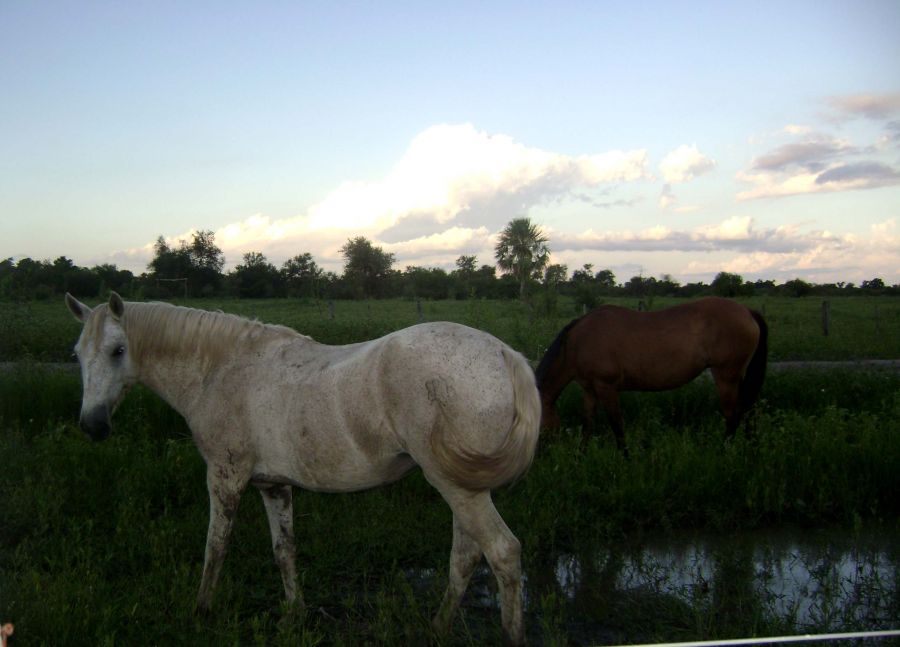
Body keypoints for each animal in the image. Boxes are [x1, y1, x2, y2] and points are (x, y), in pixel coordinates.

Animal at [67, 292, 540, 644]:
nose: (92, 425)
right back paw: (437, 628)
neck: (220, 370)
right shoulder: (272, 485)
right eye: (77, 355)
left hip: (458, 488)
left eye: (118, 351)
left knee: (502, 552)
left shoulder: (225, 477)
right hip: (463, 487)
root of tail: (503, 352)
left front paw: (201, 612)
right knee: (466, 555)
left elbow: (215, 547)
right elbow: (284, 550)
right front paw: (295, 613)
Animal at [536, 298, 768, 450]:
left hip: (726, 376)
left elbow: (617, 425)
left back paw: (723, 451)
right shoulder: (590, 390)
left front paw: (626, 460)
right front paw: (580, 457)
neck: (577, 342)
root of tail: (747, 311)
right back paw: (751, 449)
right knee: (749, 411)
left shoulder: (606, 387)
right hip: (740, 377)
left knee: (733, 415)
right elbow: (587, 425)